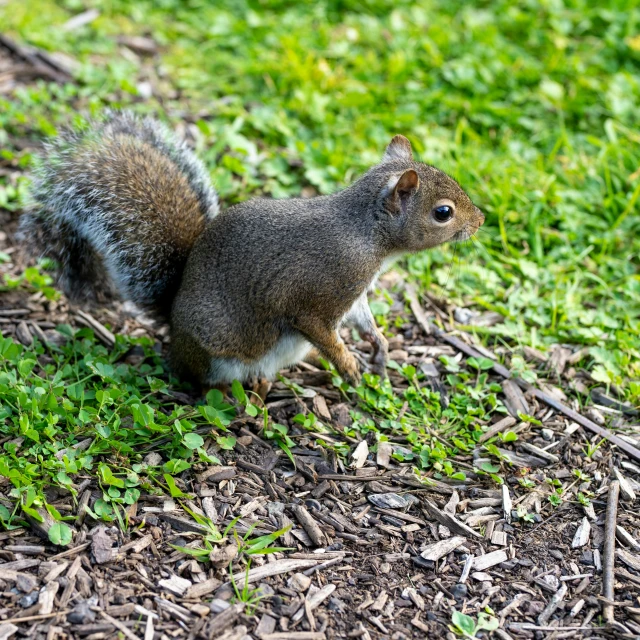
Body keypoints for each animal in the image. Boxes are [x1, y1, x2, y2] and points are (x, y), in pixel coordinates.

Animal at [21, 112, 484, 388]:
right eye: (443, 212)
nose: (480, 221)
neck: (366, 235)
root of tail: (173, 322)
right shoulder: (318, 293)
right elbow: (321, 331)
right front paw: (348, 365)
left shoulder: (354, 295)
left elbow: (363, 318)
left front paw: (379, 346)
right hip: (218, 353)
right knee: (201, 382)